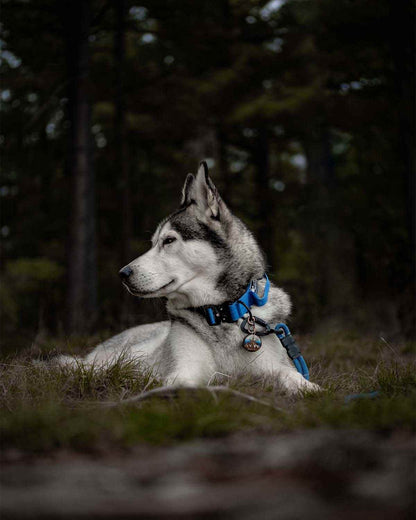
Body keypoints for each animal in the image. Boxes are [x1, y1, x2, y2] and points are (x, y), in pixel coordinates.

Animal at [59, 162, 318, 394]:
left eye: (169, 240)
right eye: (153, 243)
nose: (123, 274)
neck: (221, 312)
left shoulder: (271, 364)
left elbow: (287, 373)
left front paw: (309, 388)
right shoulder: (184, 368)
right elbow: (185, 382)